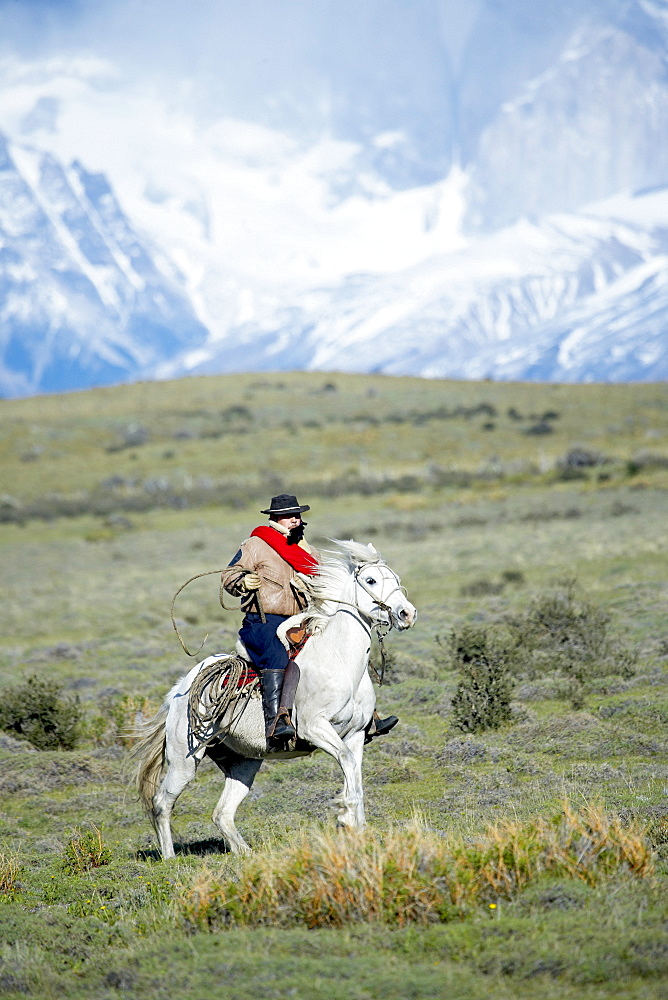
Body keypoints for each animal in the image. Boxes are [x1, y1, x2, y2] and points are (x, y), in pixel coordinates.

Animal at [130, 544, 418, 856]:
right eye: (370, 581)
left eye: (395, 578)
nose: (407, 613)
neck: (338, 660)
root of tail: (179, 691)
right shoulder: (315, 728)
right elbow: (347, 765)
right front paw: (346, 817)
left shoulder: (354, 734)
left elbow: (354, 772)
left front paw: (357, 828)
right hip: (184, 760)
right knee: (162, 803)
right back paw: (171, 859)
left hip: (244, 764)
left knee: (222, 814)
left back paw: (247, 854)